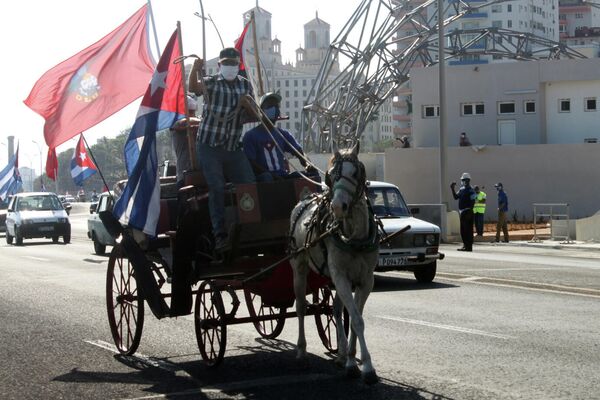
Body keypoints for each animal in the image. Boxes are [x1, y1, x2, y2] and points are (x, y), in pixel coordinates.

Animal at [288, 143, 378, 384]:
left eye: (355, 173)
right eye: (330, 176)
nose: (338, 206)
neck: (354, 237)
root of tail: (304, 199)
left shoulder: (365, 280)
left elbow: (355, 318)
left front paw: (352, 359)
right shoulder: (340, 275)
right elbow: (356, 320)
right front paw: (365, 367)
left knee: (336, 309)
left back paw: (340, 355)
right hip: (299, 266)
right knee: (300, 307)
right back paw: (301, 351)